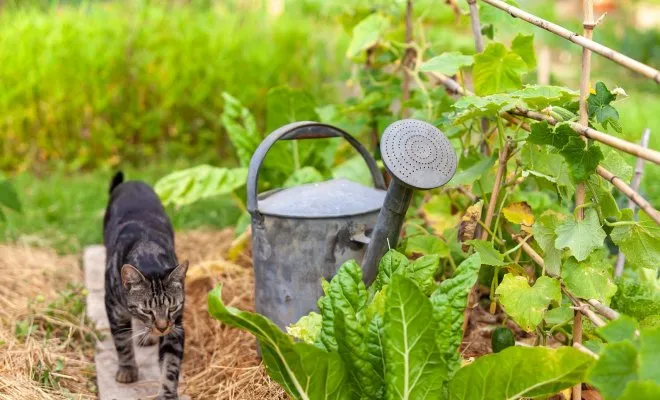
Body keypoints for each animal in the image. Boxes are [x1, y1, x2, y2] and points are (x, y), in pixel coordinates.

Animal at [102, 170, 188, 398]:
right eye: (147, 310)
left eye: (172, 308)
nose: (162, 327)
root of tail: (132, 182)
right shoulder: (114, 308)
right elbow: (122, 342)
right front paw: (127, 369)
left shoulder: (176, 328)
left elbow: (170, 365)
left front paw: (168, 394)